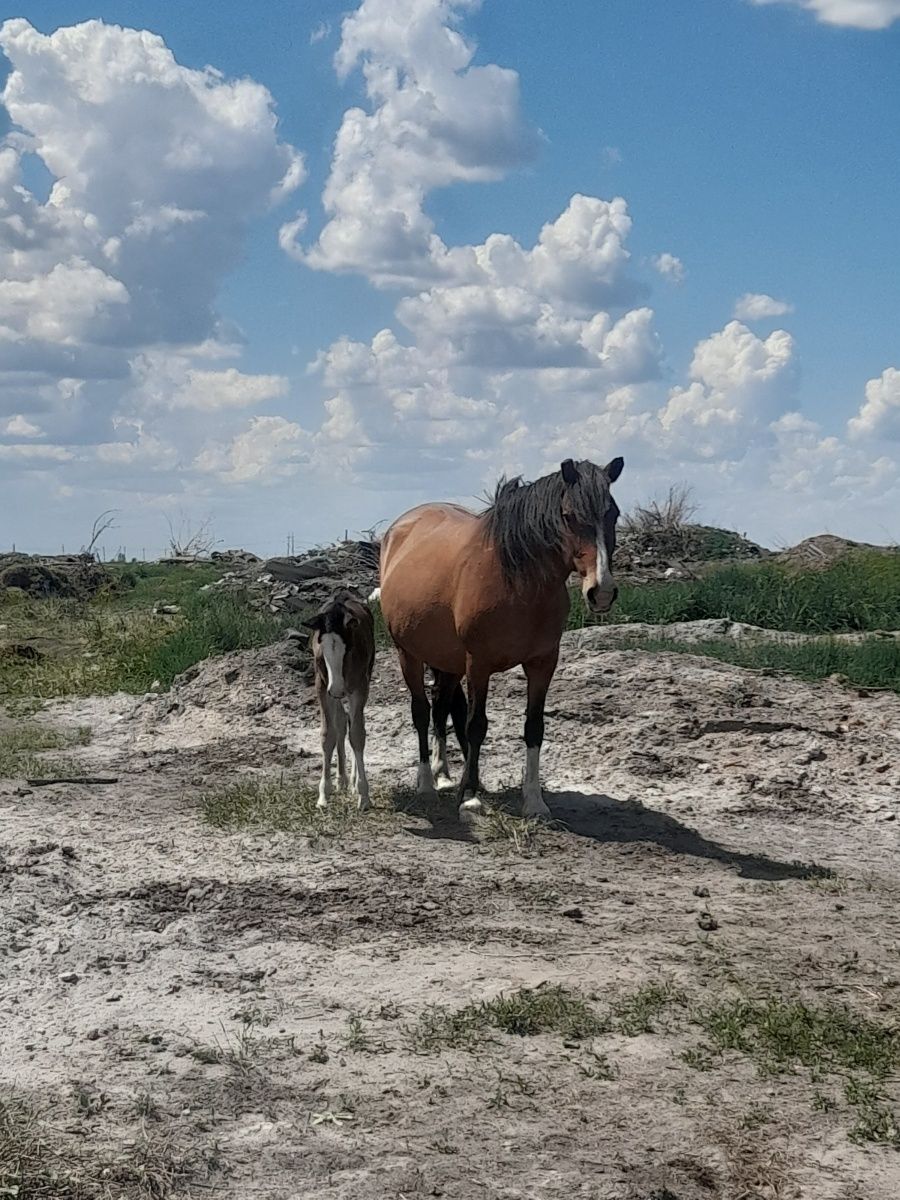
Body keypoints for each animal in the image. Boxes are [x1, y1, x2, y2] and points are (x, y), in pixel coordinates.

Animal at [307, 592, 376, 816]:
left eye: (349, 649)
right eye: (321, 647)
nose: (337, 689)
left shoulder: (359, 686)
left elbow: (357, 735)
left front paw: (363, 795)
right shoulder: (322, 685)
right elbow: (328, 734)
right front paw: (323, 794)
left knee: (352, 723)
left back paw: (352, 782)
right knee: (341, 722)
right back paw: (342, 780)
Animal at [376, 453, 624, 820]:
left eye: (614, 513)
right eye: (569, 516)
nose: (602, 592)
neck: (517, 582)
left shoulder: (543, 663)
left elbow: (534, 727)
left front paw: (534, 801)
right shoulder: (479, 664)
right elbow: (475, 725)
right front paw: (470, 796)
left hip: (447, 660)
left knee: (440, 706)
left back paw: (443, 774)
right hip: (408, 653)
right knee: (421, 712)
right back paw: (427, 784)